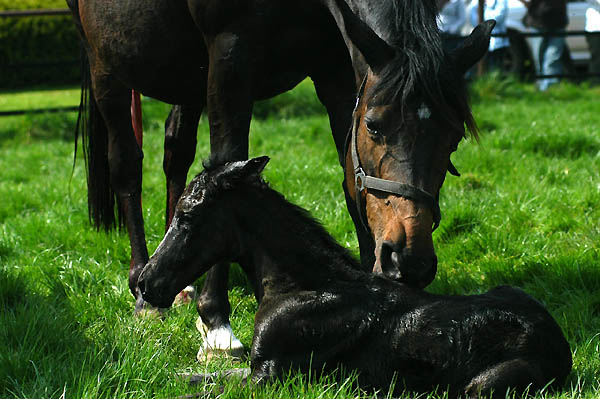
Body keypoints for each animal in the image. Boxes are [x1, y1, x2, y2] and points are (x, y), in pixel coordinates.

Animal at [137, 158, 572, 398]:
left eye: (187, 216)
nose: (144, 283)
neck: (302, 287)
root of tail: (561, 347)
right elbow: (187, 378)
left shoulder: (272, 377)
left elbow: (201, 386)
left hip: (481, 387)